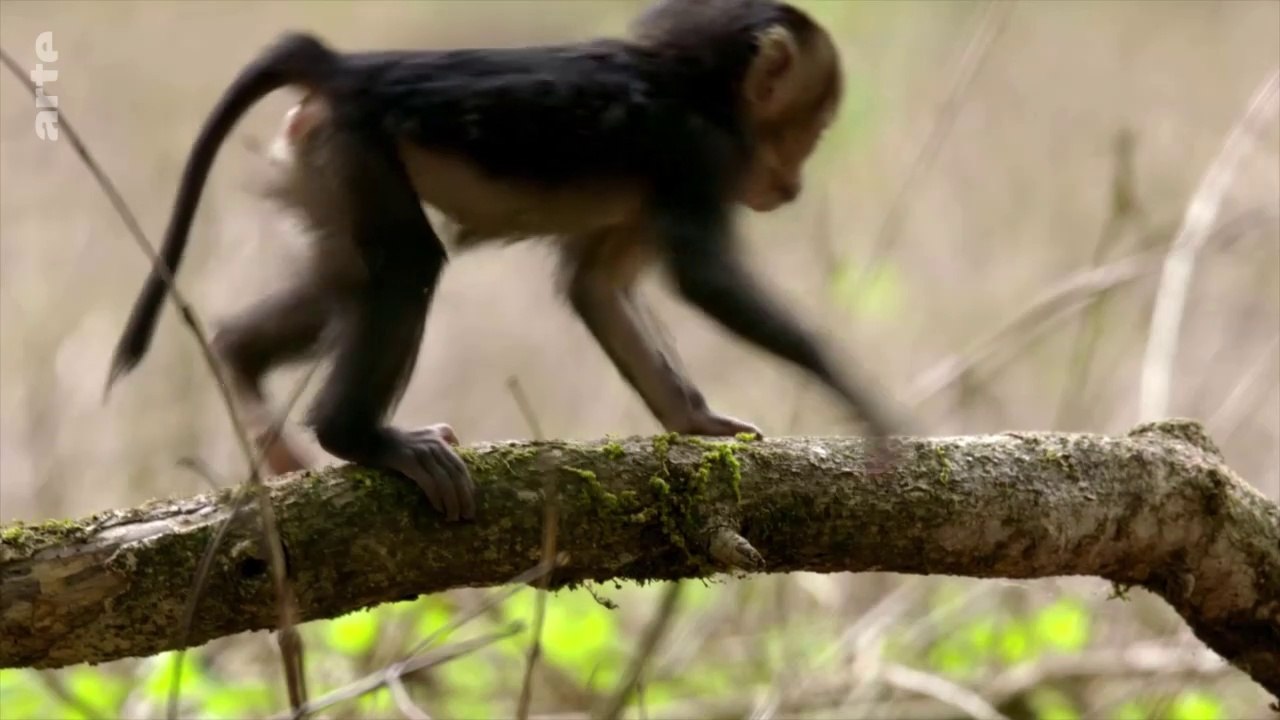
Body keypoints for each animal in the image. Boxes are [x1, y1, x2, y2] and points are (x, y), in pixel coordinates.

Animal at [105, 0, 908, 524]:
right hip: (356, 143)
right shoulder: (698, 152)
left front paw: (695, 420)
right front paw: (865, 405)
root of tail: (345, 68)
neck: (689, 79)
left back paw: (239, 359)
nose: (793, 184)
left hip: (319, 157)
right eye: (813, 129)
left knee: (350, 275)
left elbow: (594, 288)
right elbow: (704, 281)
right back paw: (356, 437)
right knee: (407, 264)